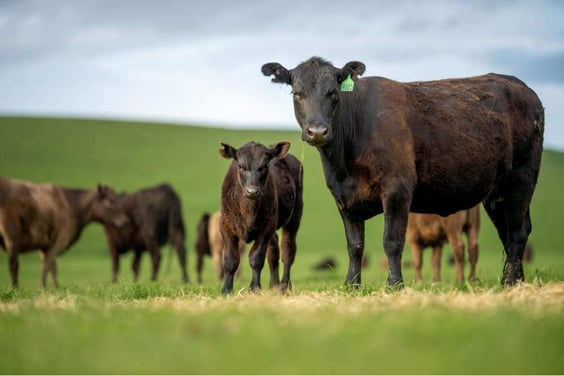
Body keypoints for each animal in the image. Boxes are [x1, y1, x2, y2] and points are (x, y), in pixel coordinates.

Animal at [0, 176, 129, 288]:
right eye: (112, 201)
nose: (125, 221)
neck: (73, 206)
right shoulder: (59, 240)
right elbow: (48, 265)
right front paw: (45, 287)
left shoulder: (44, 246)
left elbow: (51, 266)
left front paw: (53, 287)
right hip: (12, 236)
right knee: (14, 264)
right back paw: (15, 288)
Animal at [219, 141, 304, 294]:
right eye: (241, 167)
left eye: (264, 167)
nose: (252, 191)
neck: (249, 210)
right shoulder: (225, 225)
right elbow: (230, 259)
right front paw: (226, 289)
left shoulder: (267, 227)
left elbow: (256, 258)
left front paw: (254, 288)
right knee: (274, 251)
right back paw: (273, 284)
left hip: (294, 217)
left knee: (288, 250)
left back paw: (284, 285)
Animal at [264, 55, 548, 286]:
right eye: (296, 93)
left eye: (333, 92)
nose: (317, 131)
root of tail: (522, 86)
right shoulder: (343, 197)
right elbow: (355, 245)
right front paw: (351, 285)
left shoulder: (397, 189)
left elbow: (392, 241)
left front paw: (395, 284)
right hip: (496, 193)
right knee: (509, 231)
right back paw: (517, 280)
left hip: (521, 179)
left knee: (517, 231)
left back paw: (510, 281)